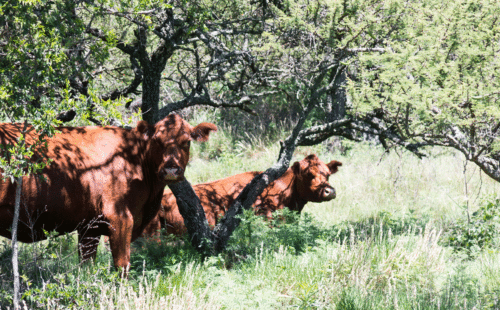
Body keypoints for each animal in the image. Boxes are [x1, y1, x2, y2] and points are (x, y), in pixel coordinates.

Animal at [0, 114, 216, 272]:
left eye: (187, 141)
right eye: (156, 140)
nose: (171, 169)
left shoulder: (90, 227)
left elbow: (86, 265)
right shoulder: (119, 217)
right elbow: (122, 265)